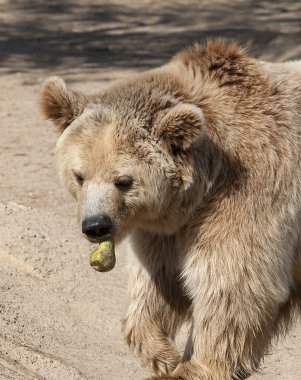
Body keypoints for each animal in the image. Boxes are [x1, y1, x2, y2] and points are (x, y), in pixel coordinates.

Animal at [40, 40, 300, 378]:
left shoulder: (248, 194)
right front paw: (162, 354)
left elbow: (232, 282)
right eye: (79, 175)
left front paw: (194, 366)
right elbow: (160, 282)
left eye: (123, 181)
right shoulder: (163, 229)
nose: (96, 226)